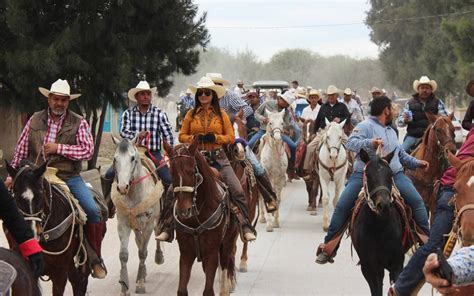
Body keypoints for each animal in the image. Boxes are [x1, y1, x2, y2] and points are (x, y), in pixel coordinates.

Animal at [5, 162, 92, 296]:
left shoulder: (60, 272)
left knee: (81, 281)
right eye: (16, 197)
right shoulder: (29, 271)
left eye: (40, 195)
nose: (32, 233)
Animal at [111, 137, 165, 296]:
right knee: (138, 240)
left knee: (156, 235)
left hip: (156, 219)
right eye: (115, 159)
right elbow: (123, 254)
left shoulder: (148, 224)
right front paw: (124, 287)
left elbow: (142, 252)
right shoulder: (123, 223)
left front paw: (140, 284)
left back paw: (158, 257)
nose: (122, 187)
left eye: (132, 158)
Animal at [163, 139, 239, 296]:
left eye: (192, 171)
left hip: (228, 241)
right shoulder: (186, 253)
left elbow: (208, 290)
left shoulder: (211, 253)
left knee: (225, 262)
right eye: (171, 172)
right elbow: (182, 290)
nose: (184, 210)